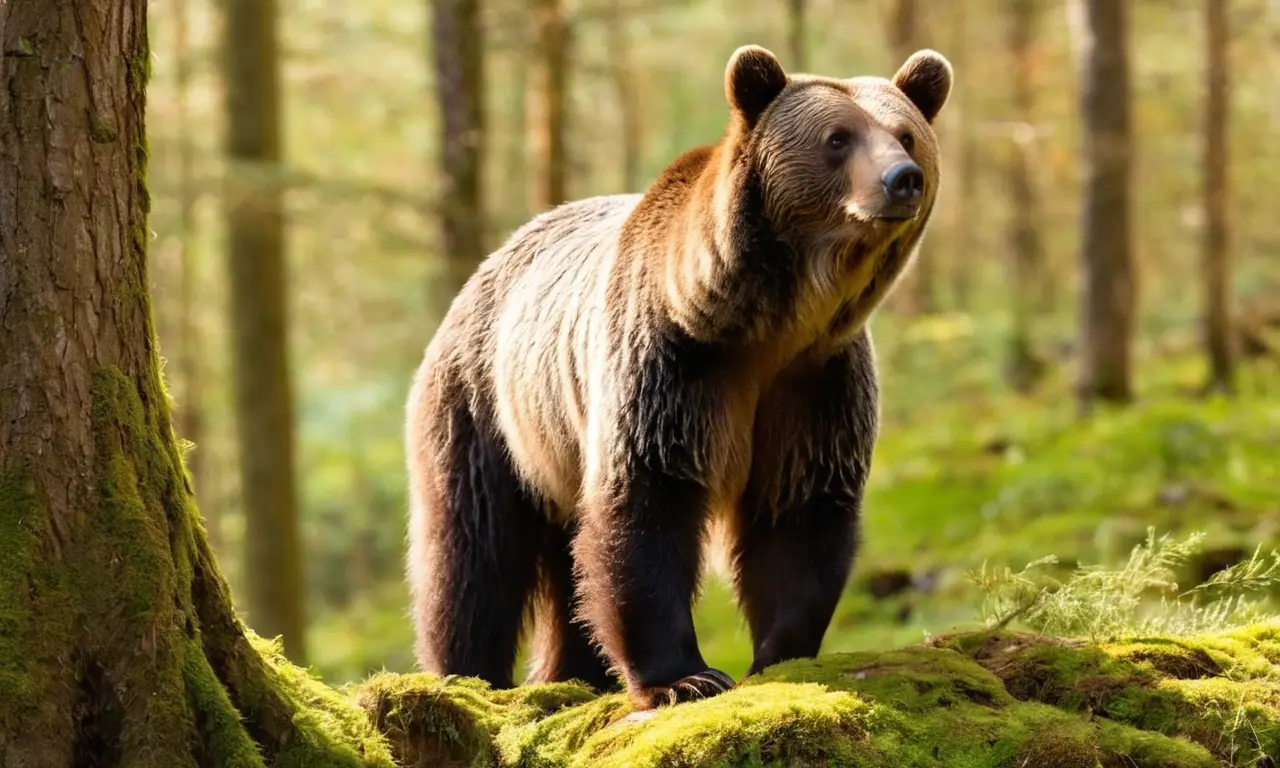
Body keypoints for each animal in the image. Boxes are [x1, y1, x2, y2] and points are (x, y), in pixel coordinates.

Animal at [405, 43, 952, 710]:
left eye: (905, 134)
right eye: (838, 138)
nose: (902, 178)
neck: (773, 318)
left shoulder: (814, 381)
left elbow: (801, 517)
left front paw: (777, 654)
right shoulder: (673, 364)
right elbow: (647, 502)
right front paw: (684, 677)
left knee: (567, 562)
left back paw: (572, 673)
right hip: (487, 406)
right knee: (472, 552)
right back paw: (467, 676)